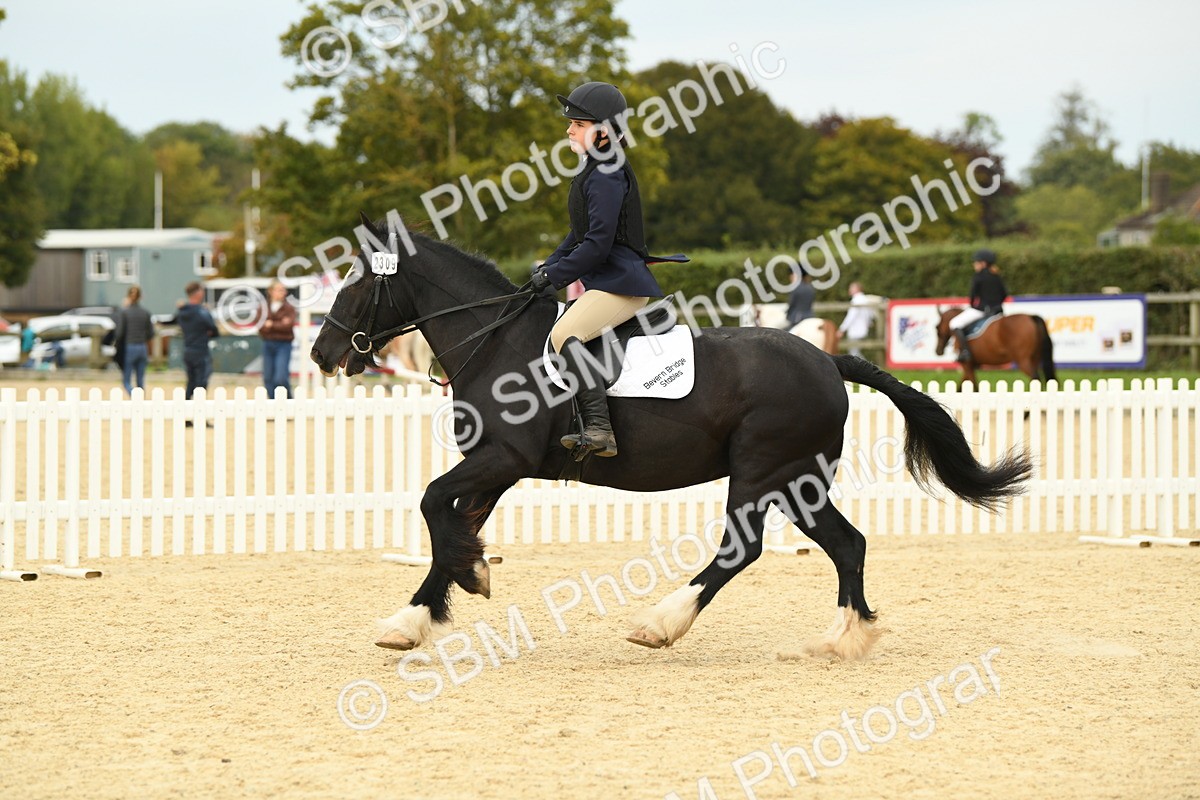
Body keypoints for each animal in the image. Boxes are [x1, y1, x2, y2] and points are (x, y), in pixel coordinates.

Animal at [311, 215, 1031, 661]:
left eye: (357, 282)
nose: (321, 353)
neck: (497, 340)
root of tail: (828, 360)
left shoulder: (500, 457)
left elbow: (434, 504)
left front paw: (463, 581)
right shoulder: (498, 467)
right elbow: (452, 525)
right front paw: (426, 609)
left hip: (761, 472)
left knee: (742, 550)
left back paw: (660, 625)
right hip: (797, 481)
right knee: (847, 545)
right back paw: (842, 640)